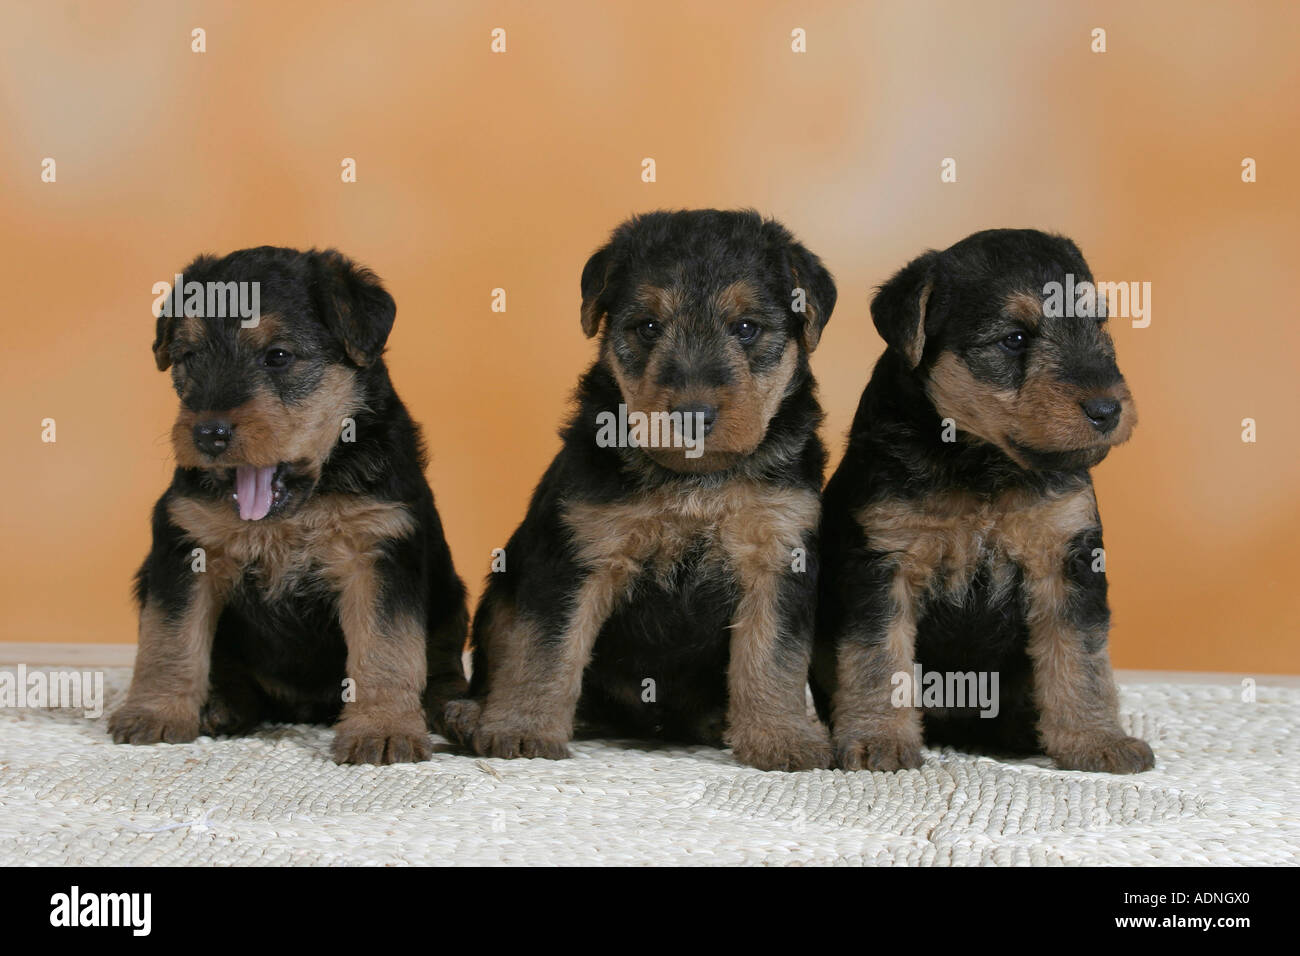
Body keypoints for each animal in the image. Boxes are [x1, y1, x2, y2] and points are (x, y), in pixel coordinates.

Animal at [110, 248, 467, 770]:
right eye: (189, 356)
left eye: (278, 356)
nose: (209, 435)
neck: (297, 506)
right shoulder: (186, 544)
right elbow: (169, 639)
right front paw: (154, 712)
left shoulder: (378, 551)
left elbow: (386, 648)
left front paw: (383, 730)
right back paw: (221, 705)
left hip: (451, 597)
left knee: (441, 664)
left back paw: (453, 709)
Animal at [444, 209, 832, 770]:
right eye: (648, 327)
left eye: (746, 328)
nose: (692, 414)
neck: (695, 479)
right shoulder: (579, 556)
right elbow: (544, 651)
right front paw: (522, 728)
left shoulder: (778, 556)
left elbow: (772, 658)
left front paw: (782, 737)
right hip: (502, 591)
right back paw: (472, 715)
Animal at [811, 227, 1159, 775]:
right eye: (1013, 338)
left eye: (1098, 323)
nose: (1107, 409)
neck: (983, 466)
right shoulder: (883, 563)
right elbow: (876, 660)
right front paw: (877, 739)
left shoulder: (1068, 558)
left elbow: (1081, 659)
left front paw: (1097, 740)